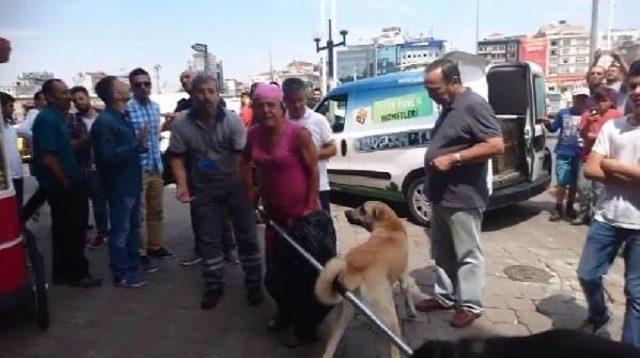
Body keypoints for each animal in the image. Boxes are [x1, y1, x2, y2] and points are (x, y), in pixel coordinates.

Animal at [314, 201, 422, 358]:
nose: (346, 212)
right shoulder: (404, 274)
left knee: (331, 344)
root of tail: (353, 269)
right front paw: (411, 312)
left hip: (345, 311)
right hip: (389, 314)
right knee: (394, 343)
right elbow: (407, 291)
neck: (389, 225)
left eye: (363, 209)